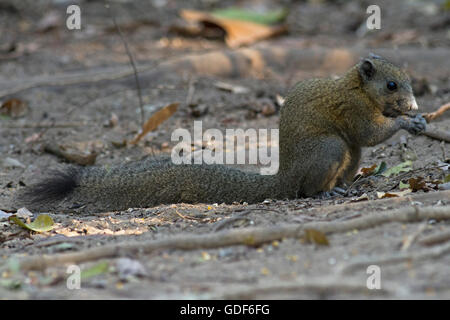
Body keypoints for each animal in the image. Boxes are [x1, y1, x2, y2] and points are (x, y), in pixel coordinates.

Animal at [17, 54, 426, 212]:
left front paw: (418, 121)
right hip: (329, 147)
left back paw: (351, 185)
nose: (413, 106)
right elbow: (370, 132)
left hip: (348, 154)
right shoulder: (354, 109)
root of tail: (284, 177)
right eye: (391, 85)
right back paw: (327, 191)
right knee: (308, 188)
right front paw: (406, 123)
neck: (357, 88)